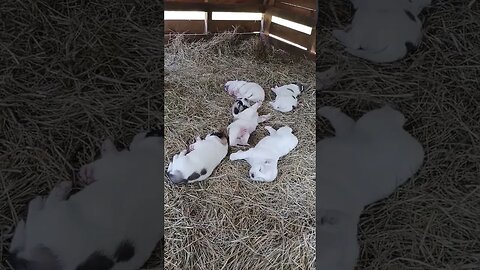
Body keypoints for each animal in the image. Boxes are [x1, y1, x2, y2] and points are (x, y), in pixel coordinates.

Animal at [7, 130, 165, 270]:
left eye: (150, 133)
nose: (140, 133)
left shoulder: (114, 163)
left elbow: (109, 156)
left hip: (53, 215)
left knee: (37, 215)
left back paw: (49, 195)